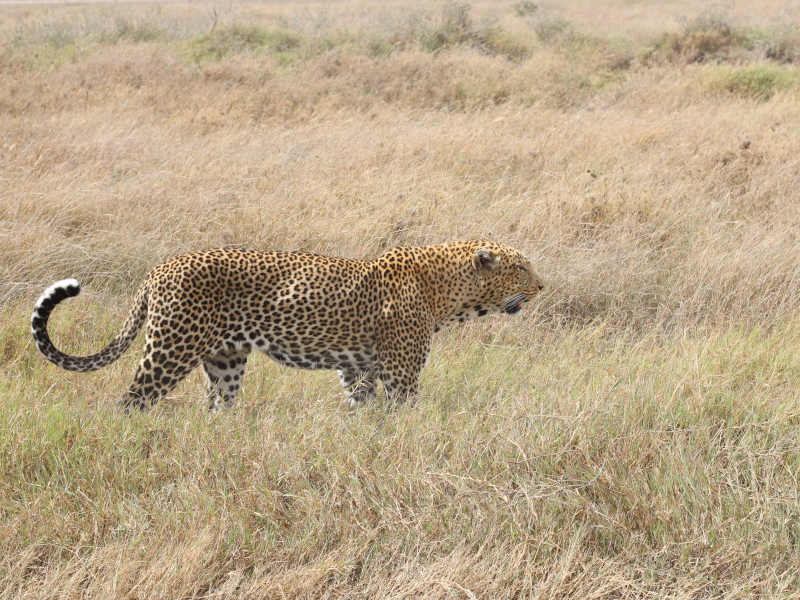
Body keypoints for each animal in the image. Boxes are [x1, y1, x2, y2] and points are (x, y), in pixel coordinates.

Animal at [31, 241, 544, 410]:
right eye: (521, 268)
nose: (542, 285)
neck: (450, 293)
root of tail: (159, 269)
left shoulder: (357, 369)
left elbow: (362, 408)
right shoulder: (400, 373)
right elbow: (405, 412)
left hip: (226, 360)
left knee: (216, 404)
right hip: (171, 349)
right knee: (131, 401)